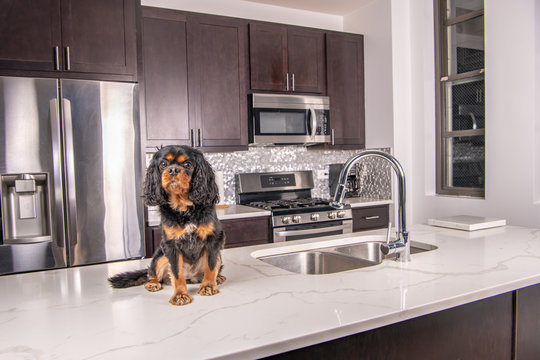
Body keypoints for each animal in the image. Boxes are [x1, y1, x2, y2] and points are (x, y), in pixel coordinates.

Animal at [107, 145, 226, 306]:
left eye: (187, 164)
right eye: (163, 164)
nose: (173, 170)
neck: (184, 208)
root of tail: (192, 277)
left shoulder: (213, 240)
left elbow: (211, 265)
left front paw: (208, 286)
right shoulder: (171, 245)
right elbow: (176, 273)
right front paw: (180, 295)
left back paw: (217, 278)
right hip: (160, 256)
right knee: (151, 272)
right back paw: (152, 283)